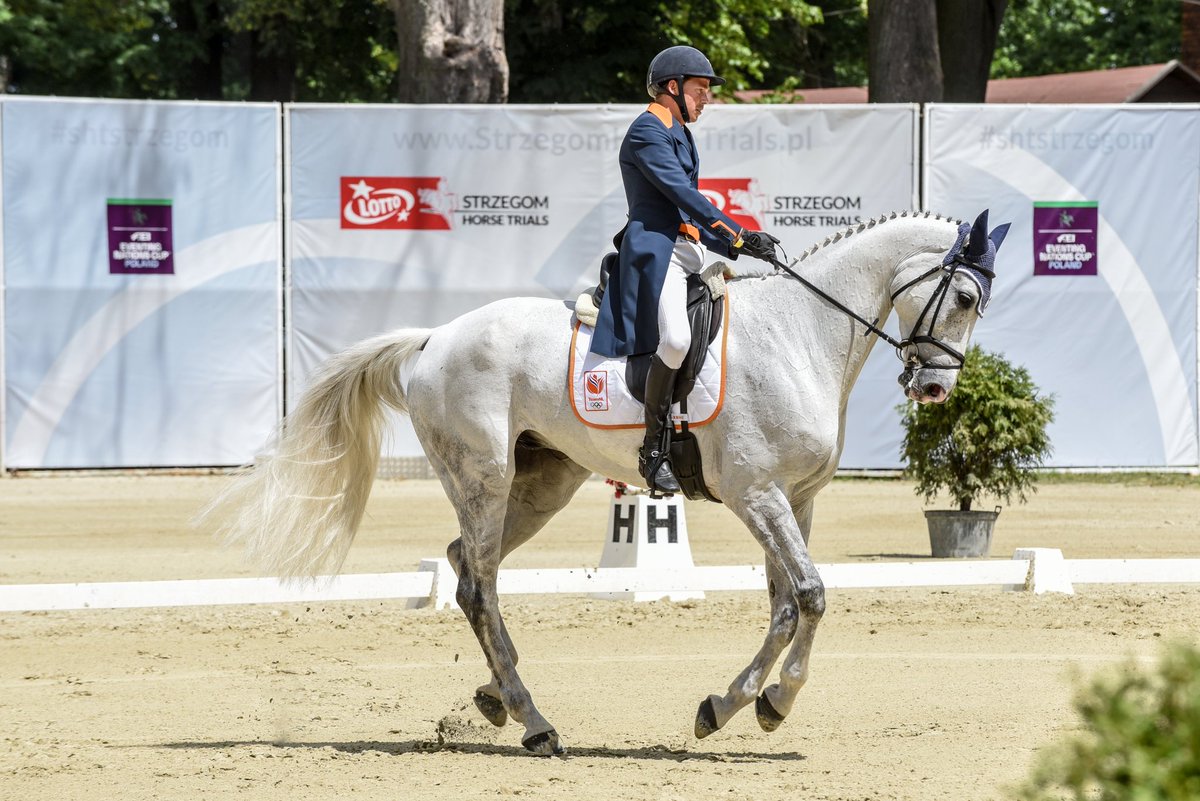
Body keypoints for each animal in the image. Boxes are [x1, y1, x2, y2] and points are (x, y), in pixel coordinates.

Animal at [203, 209, 1010, 756]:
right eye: (966, 299)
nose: (935, 388)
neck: (801, 333)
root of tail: (436, 339)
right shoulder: (756, 494)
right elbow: (810, 595)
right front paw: (766, 702)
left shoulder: (796, 500)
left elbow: (787, 604)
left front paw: (739, 704)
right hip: (484, 475)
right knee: (478, 585)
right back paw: (535, 724)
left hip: (541, 484)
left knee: (469, 570)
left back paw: (499, 696)